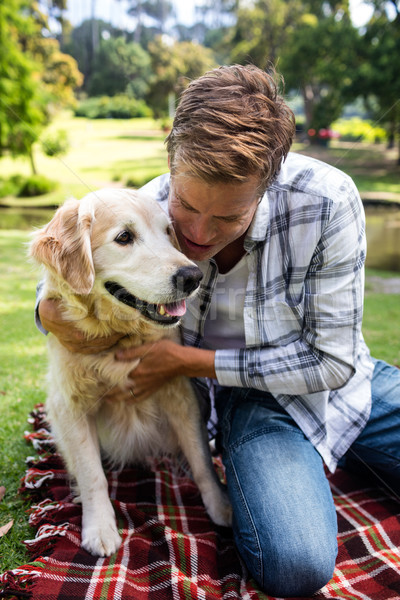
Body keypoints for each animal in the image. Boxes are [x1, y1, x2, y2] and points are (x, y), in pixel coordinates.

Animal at [28, 189, 231, 556]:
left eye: (168, 232)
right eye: (124, 237)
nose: (191, 276)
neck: (119, 336)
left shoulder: (181, 395)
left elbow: (201, 461)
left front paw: (220, 505)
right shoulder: (70, 406)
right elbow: (92, 473)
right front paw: (100, 527)